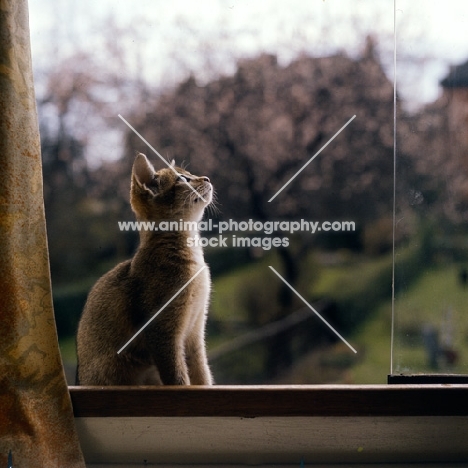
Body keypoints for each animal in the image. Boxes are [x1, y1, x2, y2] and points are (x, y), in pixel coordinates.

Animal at [76, 154, 214, 384]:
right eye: (183, 179)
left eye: (190, 174)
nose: (207, 178)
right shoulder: (163, 335)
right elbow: (178, 379)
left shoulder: (195, 334)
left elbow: (202, 375)